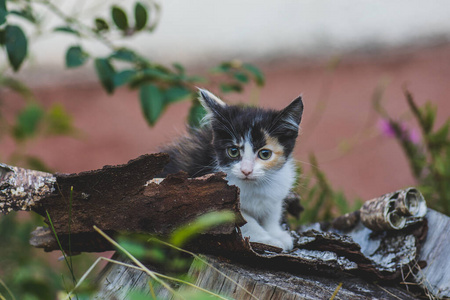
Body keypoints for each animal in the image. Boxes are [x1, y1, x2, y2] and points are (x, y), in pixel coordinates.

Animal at [160, 89, 304, 251]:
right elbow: (246, 222)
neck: (254, 186)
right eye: (233, 151)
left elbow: (272, 213)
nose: (246, 171)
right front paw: (269, 239)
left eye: (265, 154)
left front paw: (277, 233)